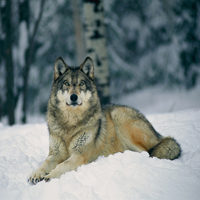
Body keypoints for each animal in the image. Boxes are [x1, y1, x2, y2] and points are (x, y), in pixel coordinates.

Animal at [28, 56, 181, 184]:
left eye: (81, 84)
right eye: (66, 83)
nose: (73, 97)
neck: (70, 123)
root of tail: (158, 135)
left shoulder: (79, 155)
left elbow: (61, 165)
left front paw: (50, 176)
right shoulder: (55, 154)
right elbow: (44, 164)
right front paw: (36, 174)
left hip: (119, 117)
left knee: (146, 153)